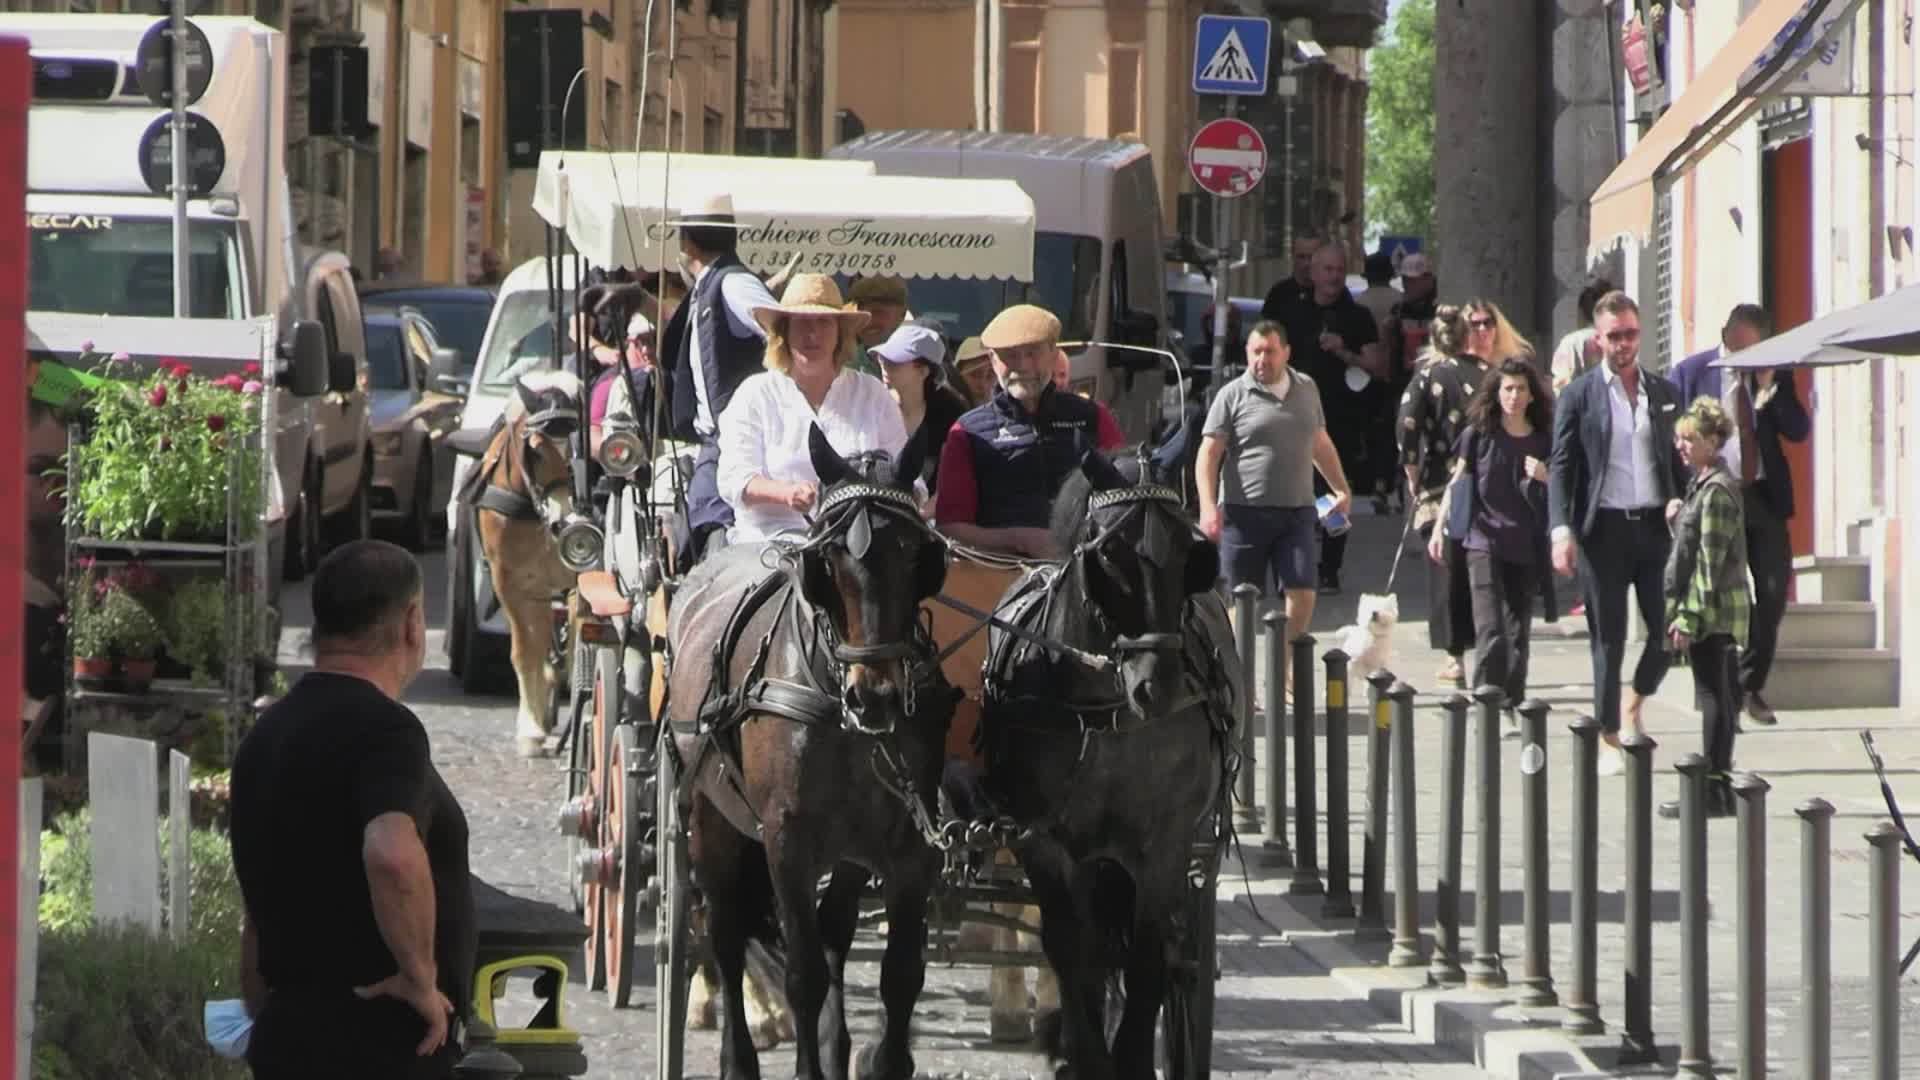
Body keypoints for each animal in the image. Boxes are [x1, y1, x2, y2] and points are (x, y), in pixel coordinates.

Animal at [462, 367, 583, 749]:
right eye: (536, 452)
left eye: (576, 447)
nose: (562, 518)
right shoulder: (510, 583)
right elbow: (524, 649)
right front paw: (530, 727)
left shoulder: (578, 579)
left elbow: (577, 645)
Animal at [668, 420, 952, 1076]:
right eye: (831, 557)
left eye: (914, 553)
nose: (874, 696)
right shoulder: (787, 844)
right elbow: (802, 976)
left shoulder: (909, 852)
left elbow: (901, 976)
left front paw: (881, 1058)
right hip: (711, 818)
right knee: (724, 931)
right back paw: (738, 1055)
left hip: (845, 855)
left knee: (834, 934)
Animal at [983, 445, 1236, 1076]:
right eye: (1110, 553)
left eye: (1191, 549)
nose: (1157, 685)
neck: (1105, 715)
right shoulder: (1044, 843)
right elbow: (1073, 951)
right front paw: (1085, 1054)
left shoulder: (1164, 844)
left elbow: (1148, 956)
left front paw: (1131, 1058)